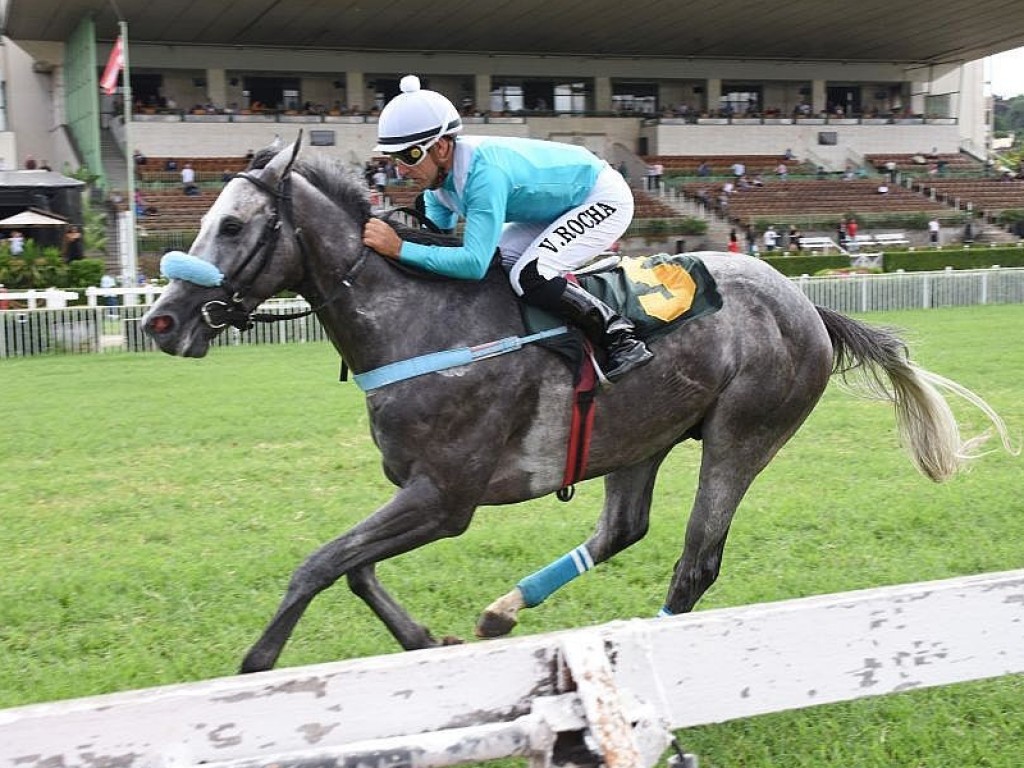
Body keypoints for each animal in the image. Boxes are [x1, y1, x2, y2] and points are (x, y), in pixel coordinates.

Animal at [140, 138, 1011, 671]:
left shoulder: (446, 498)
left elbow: (318, 565)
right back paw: (502, 612)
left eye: (235, 224)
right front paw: (427, 639)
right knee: (623, 529)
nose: (162, 321)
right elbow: (352, 571)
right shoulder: (421, 493)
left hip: (743, 436)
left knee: (696, 562)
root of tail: (805, 302)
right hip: (639, 437)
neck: (423, 319)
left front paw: (256, 666)